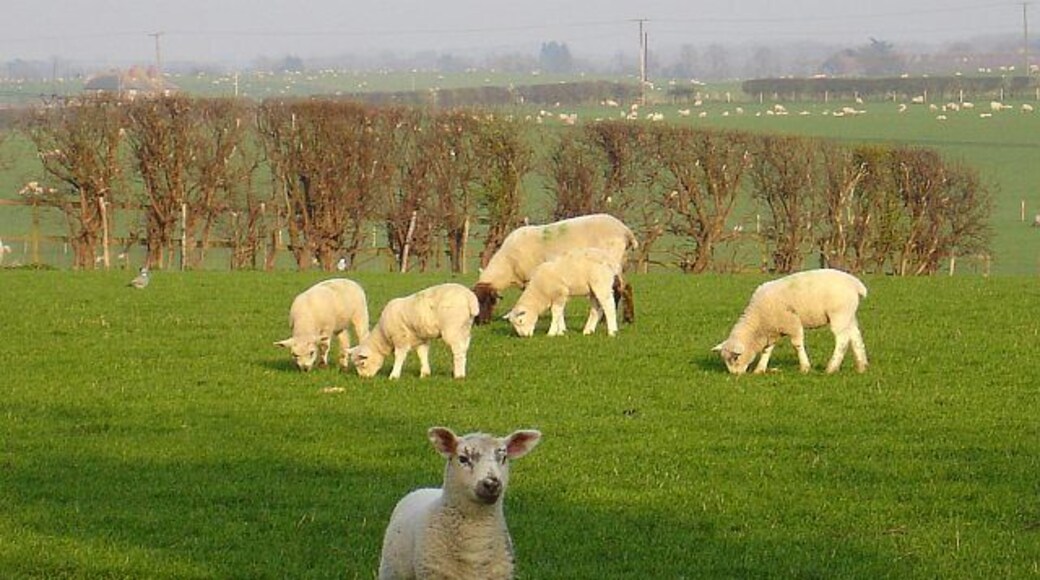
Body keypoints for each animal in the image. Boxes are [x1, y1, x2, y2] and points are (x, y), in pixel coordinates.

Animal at [349, 283, 477, 379]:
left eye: (362, 363)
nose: (364, 378)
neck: (383, 336)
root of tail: (469, 297)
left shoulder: (400, 338)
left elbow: (399, 356)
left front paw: (394, 376)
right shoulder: (421, 339)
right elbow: (422, 354)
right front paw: (425, 374)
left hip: (452, 329)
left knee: (458, 351)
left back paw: (459, 375)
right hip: (465, 328)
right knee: (464, 348)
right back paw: (461, 372)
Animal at [473, 213, 637, 325]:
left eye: (487, 301)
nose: (480, 323)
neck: (508, 266)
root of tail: (625, 231)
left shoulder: (532, 277)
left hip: (611, 264)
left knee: (617, 290)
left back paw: (606, 320)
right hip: (621, 263)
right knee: (626, 288)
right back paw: (629, 318)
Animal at [712, 268, 868, 375]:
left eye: (734, 358)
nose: (735, 375)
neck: (759, 321)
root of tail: (856, 284)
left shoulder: (791, 323)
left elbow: (797, 345)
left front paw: (805, 367)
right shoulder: (773, 330)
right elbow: (767, 349)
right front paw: (760, 369)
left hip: (839, 314)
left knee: (842, 339)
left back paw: (831, 368)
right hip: (849, 315)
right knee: (855, 336)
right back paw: (862, 366)